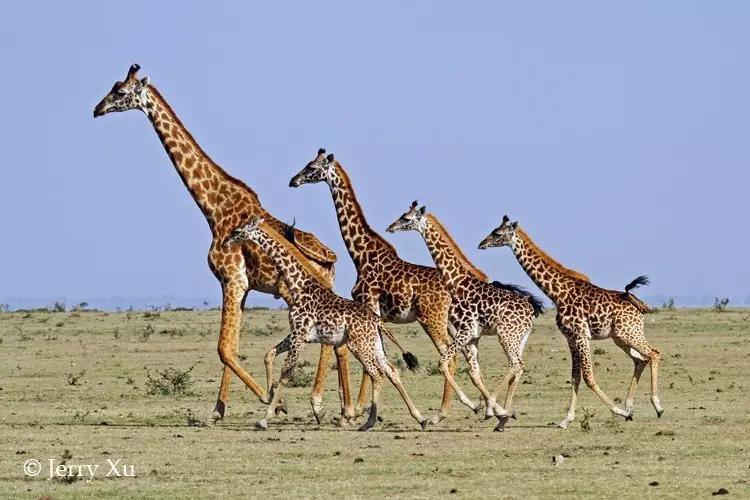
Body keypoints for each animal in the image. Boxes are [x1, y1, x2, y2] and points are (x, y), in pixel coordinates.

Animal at [92, 61, 356, 422]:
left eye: (119, 92)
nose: (96, 109)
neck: (213, 208)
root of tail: (331, 259)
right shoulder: (239, 286)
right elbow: (231, 346)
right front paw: (218, 410)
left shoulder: (231, 279)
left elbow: (223, 348)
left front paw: (274, 401)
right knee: (339, 344)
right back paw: (345, 409)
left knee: (333, 341)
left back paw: (327, 406)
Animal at [223, 217, 428, 432]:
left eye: (237, 231)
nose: (225, 244)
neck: (298, 285)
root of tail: (377, 320)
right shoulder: (298, 334)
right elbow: (269, 354)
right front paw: (276, 402)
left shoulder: (299, 334)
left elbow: (287, 372)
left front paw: (265, 418)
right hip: (375, 343)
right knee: (390, 370)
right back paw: (420, 418)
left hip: (359, 344)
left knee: (377, 373)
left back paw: (369, 422)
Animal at [290, 150, 462, 424]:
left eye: (312, 167)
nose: (293, 181)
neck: (361, 253)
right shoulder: (372, 313)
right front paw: (356, 411)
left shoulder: (368, 303)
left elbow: (370, 361)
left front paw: (355, 412)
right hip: (450, 320)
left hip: (431, 319)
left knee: (449, 353)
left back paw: (441, 413)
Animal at [388, 202, 548, 430]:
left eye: (406, 218)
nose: (390, 227)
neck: (456, 281)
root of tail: (531, 308)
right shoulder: (472, 336)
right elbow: (473, 373)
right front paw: (492, 409)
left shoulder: (465, 331)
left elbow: (443, 363)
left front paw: (483, 408)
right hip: (520, 338)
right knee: (519, 366)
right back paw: (504, 415)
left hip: (506, 335)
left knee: (515, 365)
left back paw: (498, 411)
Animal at [478, 215, 668, 426]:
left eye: (497, 234)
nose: (481, 244)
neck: (557, 293)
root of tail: (638, 305)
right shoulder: (570, 338)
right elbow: (575, 376)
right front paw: (566, 419)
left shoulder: (581, 335)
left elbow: (588, 376)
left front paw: (617, 410)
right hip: (620, 336)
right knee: (640, 360)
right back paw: (630, 407)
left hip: (628, 332)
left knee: (653, 354)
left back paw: (657, 406)